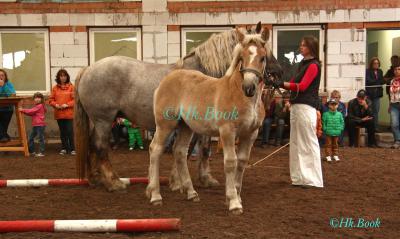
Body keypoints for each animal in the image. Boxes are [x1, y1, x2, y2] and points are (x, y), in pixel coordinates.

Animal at [147, 28, 272, 215]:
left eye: (263, 57)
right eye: (241, 58)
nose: (249, 87)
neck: (241, 95)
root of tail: (165, 81)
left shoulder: (251, 134)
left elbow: (242, 162)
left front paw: (237, 196)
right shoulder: (227, 131)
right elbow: (231, 162)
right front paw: (233, 202)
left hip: (186, 127)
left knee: (179, 151)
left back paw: (191, 193)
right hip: (165, 125)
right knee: (155, 149)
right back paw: (155, 196)